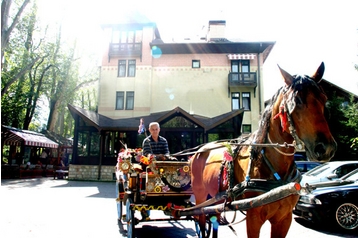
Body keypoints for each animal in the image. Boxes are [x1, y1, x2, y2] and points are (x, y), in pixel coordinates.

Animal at [192, 62, 338, 237]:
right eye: (297, 100)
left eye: (324, 99)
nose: (326, 148)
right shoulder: (253, 218)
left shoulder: (284, 218)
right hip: (200, 195)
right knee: (200, 219)